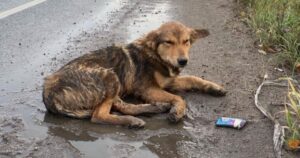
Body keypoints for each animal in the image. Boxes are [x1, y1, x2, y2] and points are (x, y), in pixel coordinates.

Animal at [41, 21, 225, 128]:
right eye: (168, 42)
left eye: (186, 41)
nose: (183, 61)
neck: (155, 55)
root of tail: (48, 93)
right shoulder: (147, 89)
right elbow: (179, 97)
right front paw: (178, 111)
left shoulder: (167, 81)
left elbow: (193, 78)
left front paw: (214, 87)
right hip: (109, 76)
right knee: (99, 115)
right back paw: (132, 120)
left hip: (114, 84)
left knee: (122, 106)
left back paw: (156, 107)